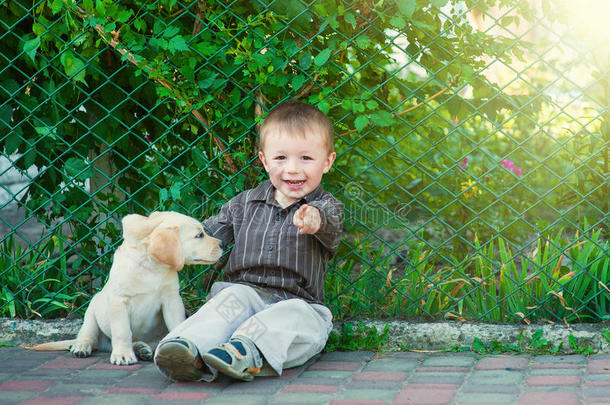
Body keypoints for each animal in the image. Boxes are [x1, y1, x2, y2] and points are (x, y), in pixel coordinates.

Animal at [28, 210, 222, 364]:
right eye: (199, 235)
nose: (221, 244)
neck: (152, 268)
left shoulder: (172, 300)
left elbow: (177, 323)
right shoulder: (119, 302)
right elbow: (122, 331)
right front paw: (122, 355)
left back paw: (142, 349)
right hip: (93, 309)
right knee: (87, 334)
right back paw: (82, 347)